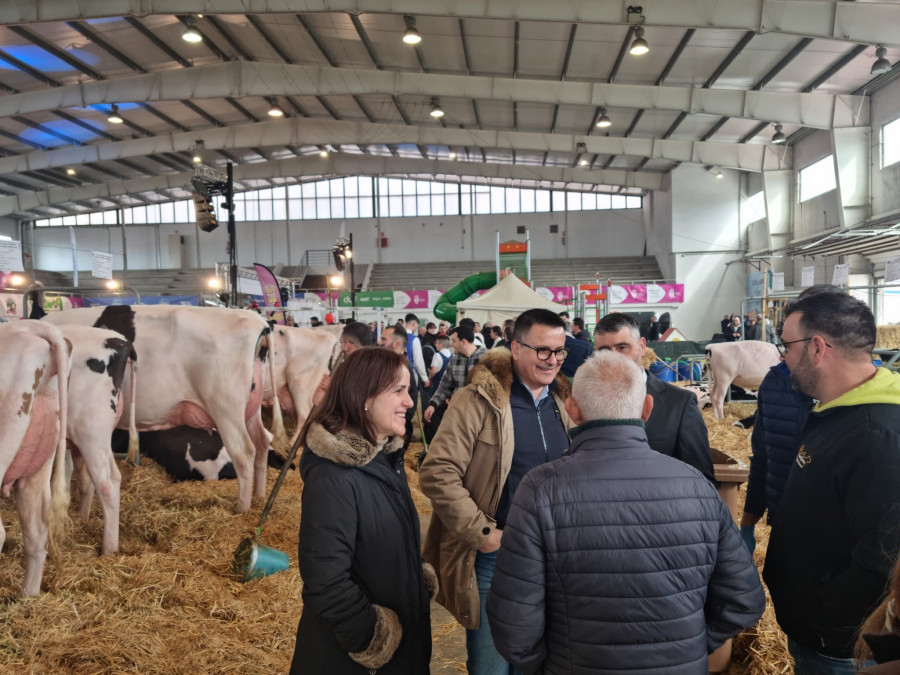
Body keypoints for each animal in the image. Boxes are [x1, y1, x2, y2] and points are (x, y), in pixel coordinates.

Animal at [45, 304, 284, 516]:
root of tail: (258, 321)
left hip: (226, 409)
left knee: (244, 453)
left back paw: (242, 509)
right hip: (250, 408)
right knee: (262, 442)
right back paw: (259, 497)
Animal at [52, 324, 137, 556]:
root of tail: (121, 341)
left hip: (91, 433)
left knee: (106, 485)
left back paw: (108, 550)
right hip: (95, 437)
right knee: (105, 478)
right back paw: (83, 520)